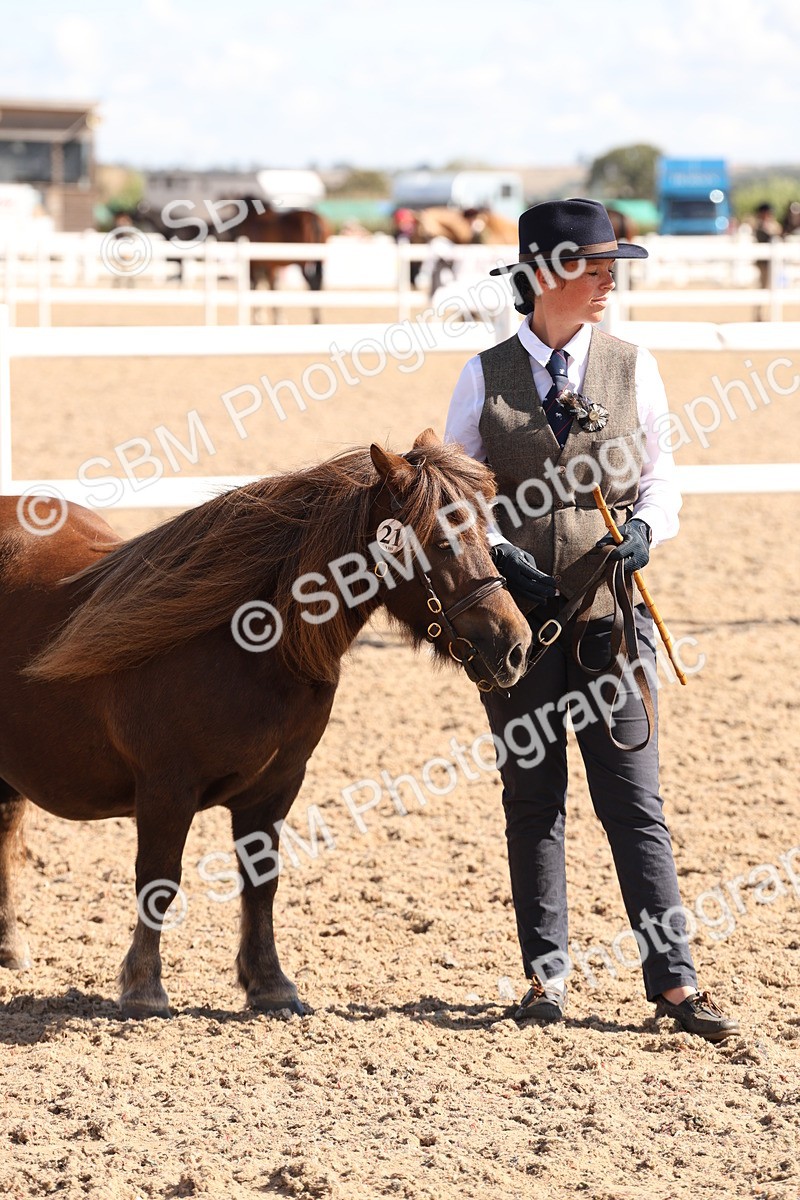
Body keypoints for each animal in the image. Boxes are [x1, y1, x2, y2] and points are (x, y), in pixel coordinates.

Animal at [0, 431, 530, 1019]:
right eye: (439, 541)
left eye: (486, 530)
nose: (514, 645)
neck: (244, 644)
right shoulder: (165, 789)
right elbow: (159, 879)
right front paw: (143, 988)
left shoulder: (276, 786)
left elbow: (261, 883)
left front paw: (270, 983)